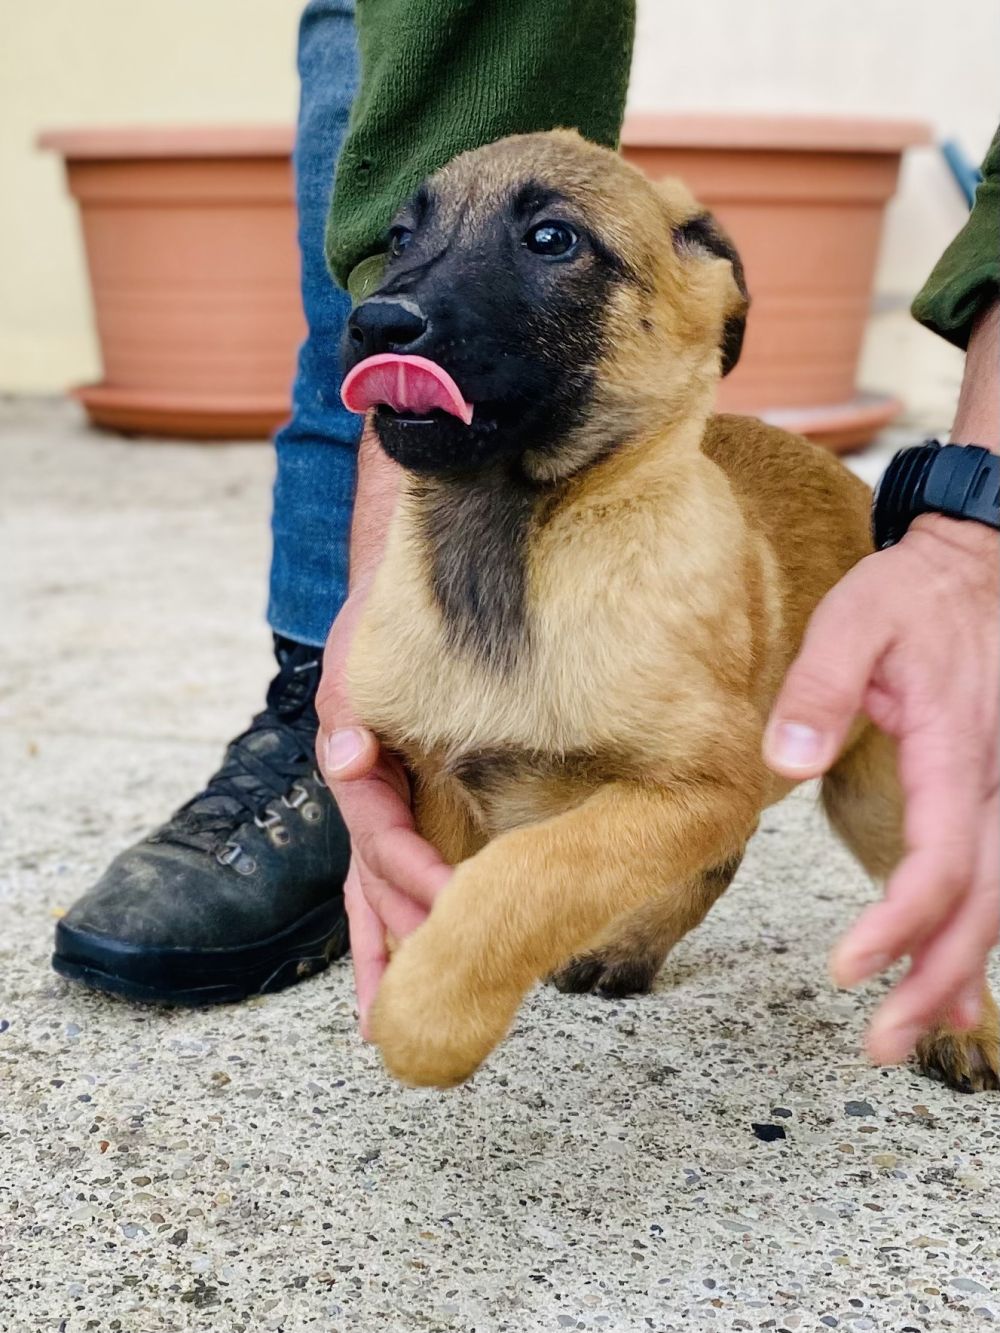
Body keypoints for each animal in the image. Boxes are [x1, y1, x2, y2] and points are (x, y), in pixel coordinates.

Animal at [338, 129, 1000, 1093]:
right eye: (398, 236)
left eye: (552, 239)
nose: (377, 326)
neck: (516, 548)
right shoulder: (429, 774)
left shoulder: (694, 782)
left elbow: (536, 869)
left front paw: (432, 1012)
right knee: (723, 861)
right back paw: (631, 945)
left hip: (877, 794)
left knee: (940, 899)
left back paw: (964, 1021)